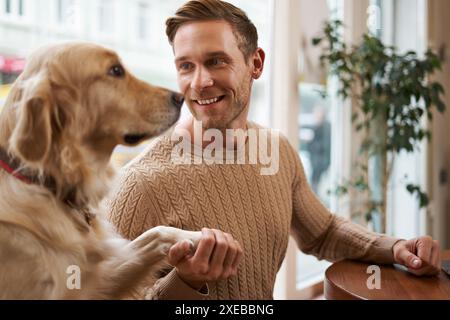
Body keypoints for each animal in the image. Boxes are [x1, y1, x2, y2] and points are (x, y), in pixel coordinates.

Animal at [0, 42, 200, 300]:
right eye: (115, 70)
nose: (180, 97)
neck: (44, 183)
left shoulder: (96, 278)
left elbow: (156, 233)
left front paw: (199, 237)